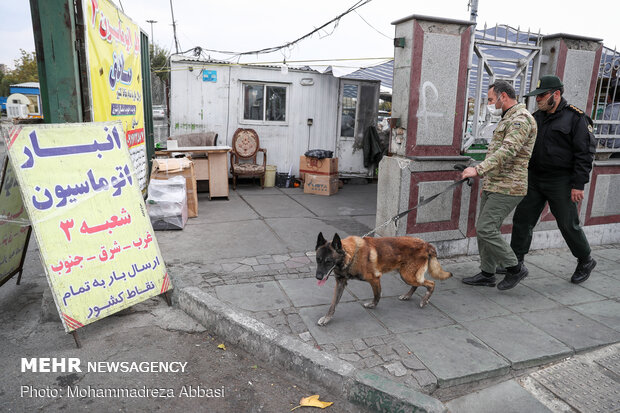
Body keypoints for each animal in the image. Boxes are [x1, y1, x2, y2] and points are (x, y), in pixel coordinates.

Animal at [314, 232, 450, 326]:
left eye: (328, 261)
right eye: (318, 260)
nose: (318, 277)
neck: (351, 255)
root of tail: (427, 244)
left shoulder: (375, 279)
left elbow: (377, 294)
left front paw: (373, 305)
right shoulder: (340, 283)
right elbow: (333, 304)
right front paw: (327, 318)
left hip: (408, 276)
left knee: (431, 283)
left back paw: (425, 300)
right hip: (407, 275)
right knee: (417, 284)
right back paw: (407, 296)